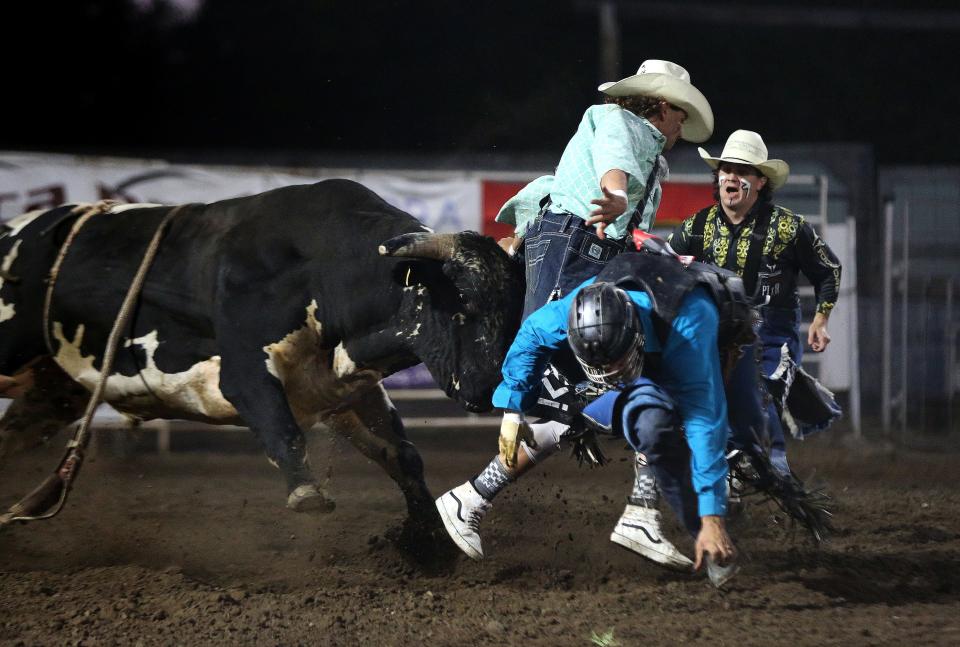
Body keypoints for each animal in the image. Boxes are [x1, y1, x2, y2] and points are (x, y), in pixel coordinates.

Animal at [0, 181, 524, 532]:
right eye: (462, 303)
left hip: (54, 391)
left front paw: (427, 539)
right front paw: (307, 494)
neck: (319, 268)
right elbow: (283, 430)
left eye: (516, 309)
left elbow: (402, 454)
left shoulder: (341, 387)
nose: (490, 387)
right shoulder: (245, 373)